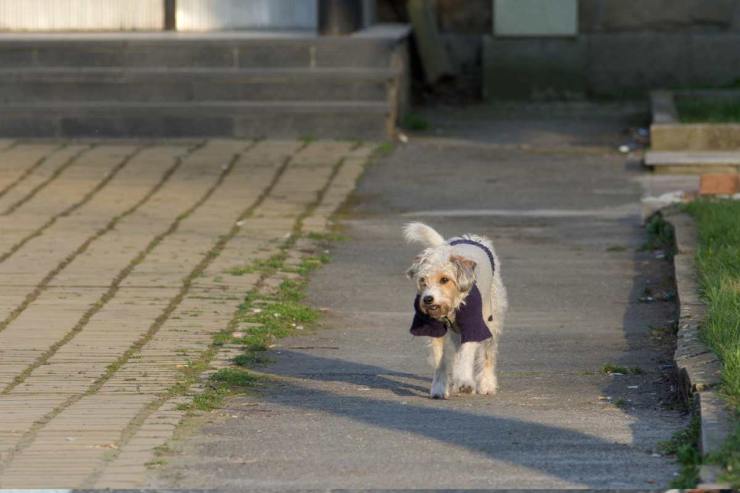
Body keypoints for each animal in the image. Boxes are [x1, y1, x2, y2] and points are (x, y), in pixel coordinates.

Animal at [402, 221, 506, 398]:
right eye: (422, 280)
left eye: (445, 279)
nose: (428, 299)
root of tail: (470, 238)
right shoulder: (433, 329)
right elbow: (440, 360)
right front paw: (439, 388)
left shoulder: (473, 325)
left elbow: (467, 354)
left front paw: (464, 381)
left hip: (492, 318)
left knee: (487, 353)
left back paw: (486, 384)